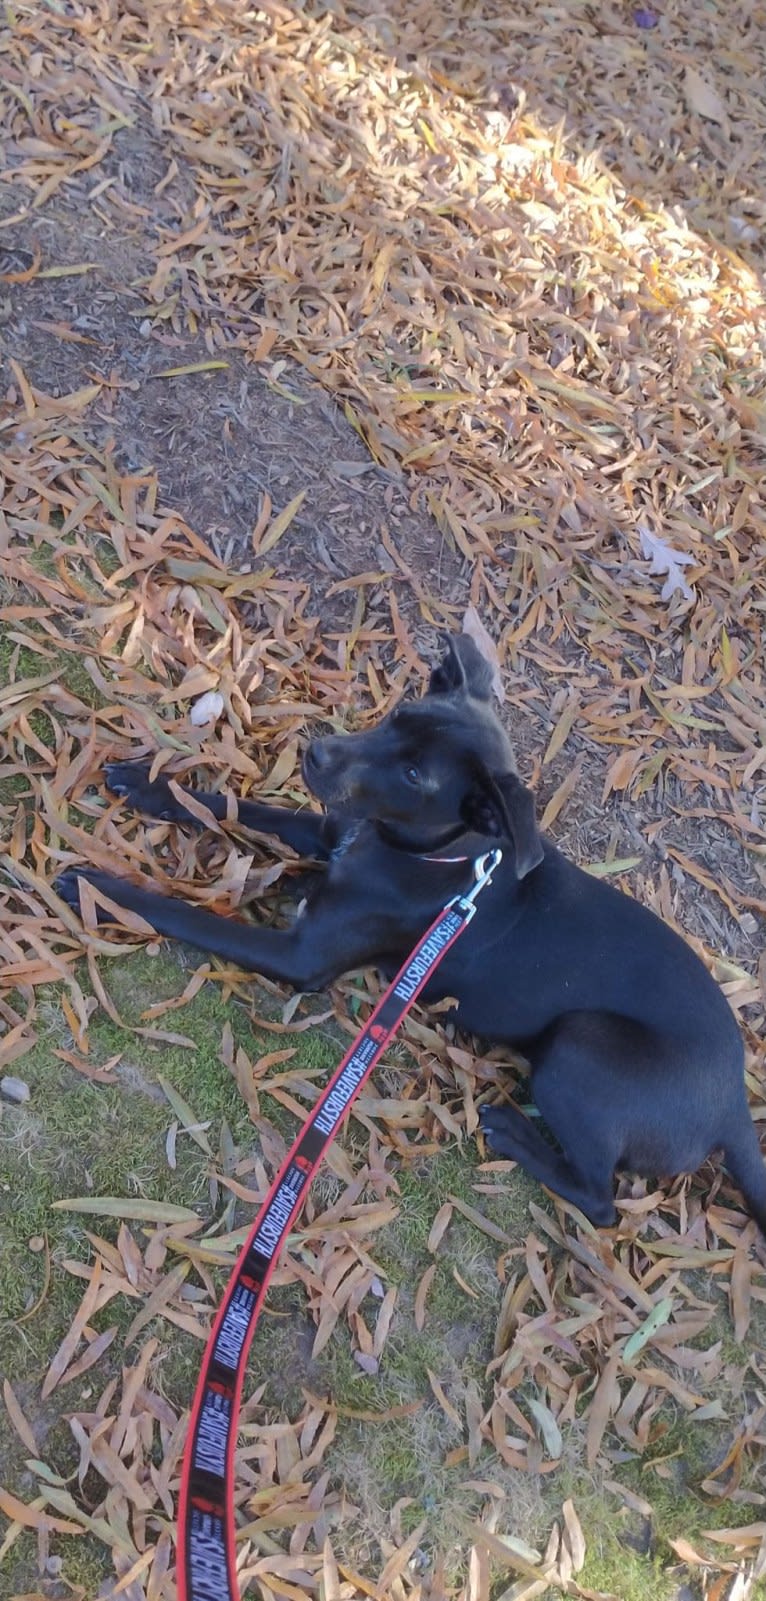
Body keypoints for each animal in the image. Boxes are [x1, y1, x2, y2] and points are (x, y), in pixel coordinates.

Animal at [56, 630, 766, 1229]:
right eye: (399, 714)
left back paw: (514, 1134)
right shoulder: (332, 828)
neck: (442, 859)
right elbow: (234, 806)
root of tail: (736, 1108)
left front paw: (100, 890)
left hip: (581, 1047)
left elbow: (188, 913)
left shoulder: (300, 955)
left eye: (415, 776)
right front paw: (151, 785)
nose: (317, 751)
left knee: (601, 1203)